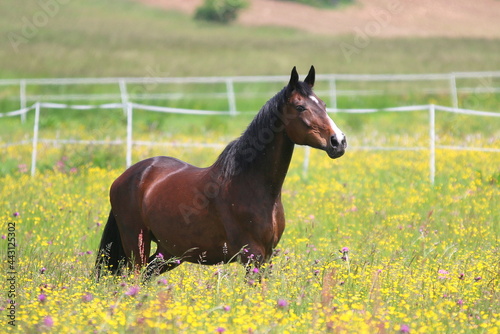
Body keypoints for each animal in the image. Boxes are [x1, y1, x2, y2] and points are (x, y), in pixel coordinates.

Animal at [94, 66, 346, 280]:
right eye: (300, 107)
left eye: (324, 105)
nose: (339, 141)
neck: (252, 186)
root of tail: (129, 176)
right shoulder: (251, 256)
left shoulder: (267, 256)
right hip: (136, 244)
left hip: (169, 251)